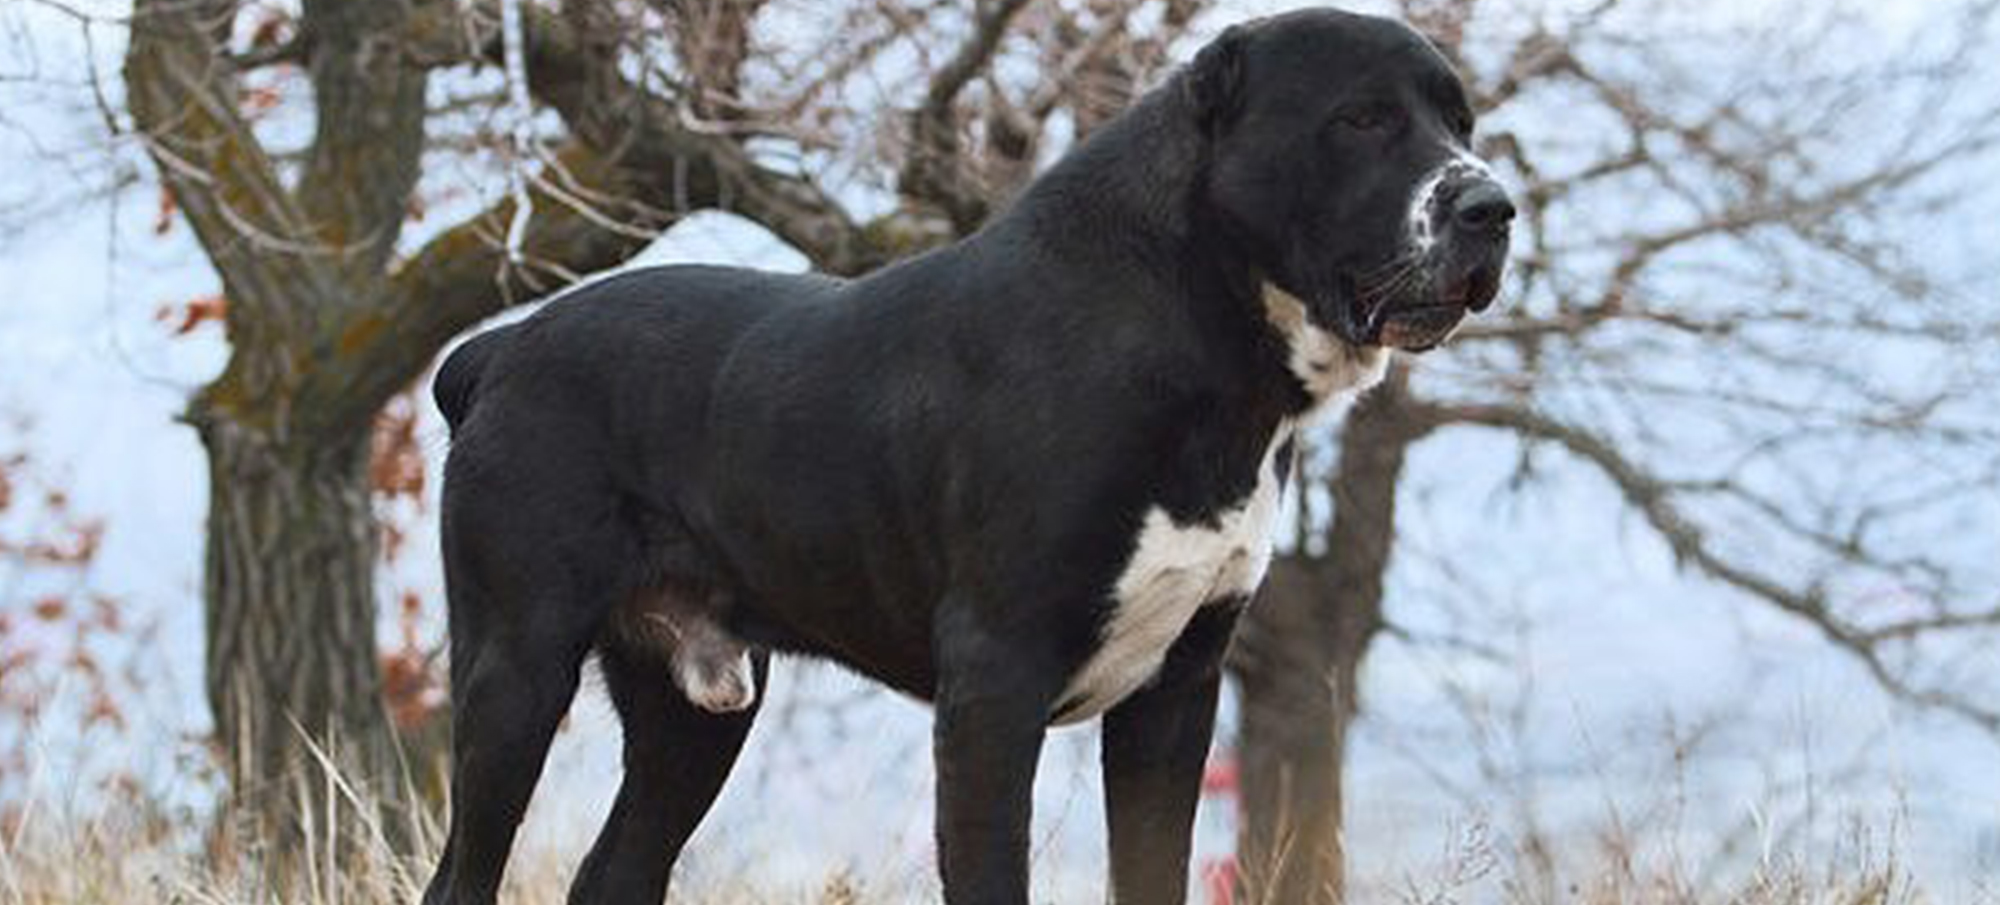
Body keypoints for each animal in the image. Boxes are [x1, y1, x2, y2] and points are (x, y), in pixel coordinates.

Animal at [426, 8, 1512, 904]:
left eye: (1459, 121)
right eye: (1361, 119)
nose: (1491, 207)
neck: (1207, 337)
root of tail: (502, 348)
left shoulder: (1176, 689)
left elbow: (1150, 868)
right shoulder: (997, 677)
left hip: (694, 706)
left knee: (617, 868)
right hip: (516, 665)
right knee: (463, 872)